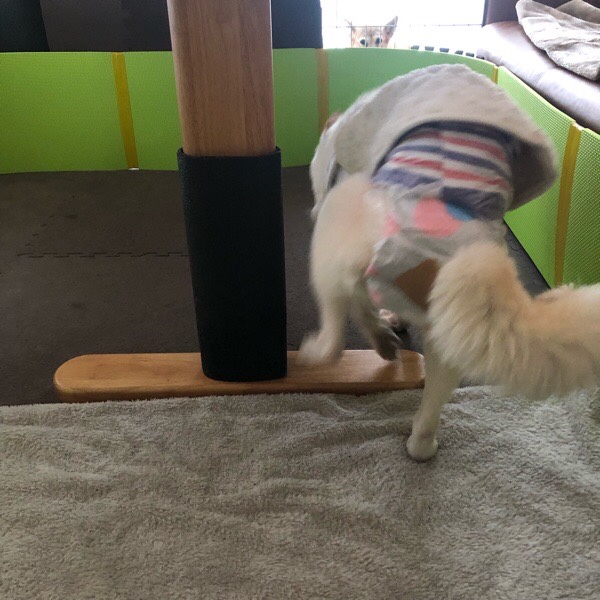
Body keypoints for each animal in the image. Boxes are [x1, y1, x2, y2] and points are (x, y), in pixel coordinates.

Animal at [299, 65, 600, 461]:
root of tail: (449, 260)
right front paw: (391, 324)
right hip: (448, 339)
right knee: (430, 407)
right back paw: (421, 444)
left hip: (335, 240)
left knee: (338, 328)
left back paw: (325, 350)